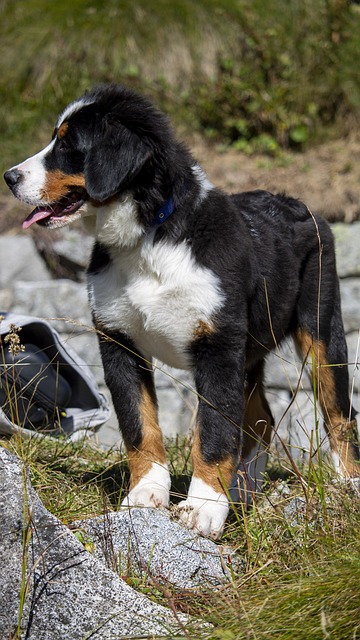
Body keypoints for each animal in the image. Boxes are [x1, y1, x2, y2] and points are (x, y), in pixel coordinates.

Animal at [4, 82, 358, 536]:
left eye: (67, 144)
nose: (10, 177)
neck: (148, 239)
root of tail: (297, 204)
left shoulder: (217, 349)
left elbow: (213, 433)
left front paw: (203, 508)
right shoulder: (118, 340)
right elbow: (140, 425)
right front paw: (146, 493)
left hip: (321, 332)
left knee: (337, 415)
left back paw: (346, 486)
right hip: (250, 356)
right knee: (261, 423)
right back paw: (242, 492)